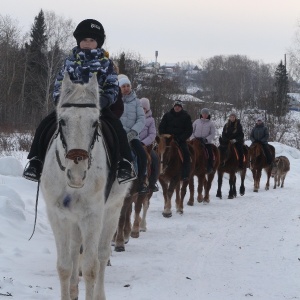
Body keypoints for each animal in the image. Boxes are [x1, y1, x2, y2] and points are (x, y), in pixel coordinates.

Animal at [40, 73, 129, 300]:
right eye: (62, 121)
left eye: (95, 123)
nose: (77, 173)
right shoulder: (58, 216)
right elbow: (64, 266)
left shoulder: (93, 216)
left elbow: (90, 268)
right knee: (74, 250)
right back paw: (73, 290)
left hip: (112, 211)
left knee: (102, 254)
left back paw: (99, 293)